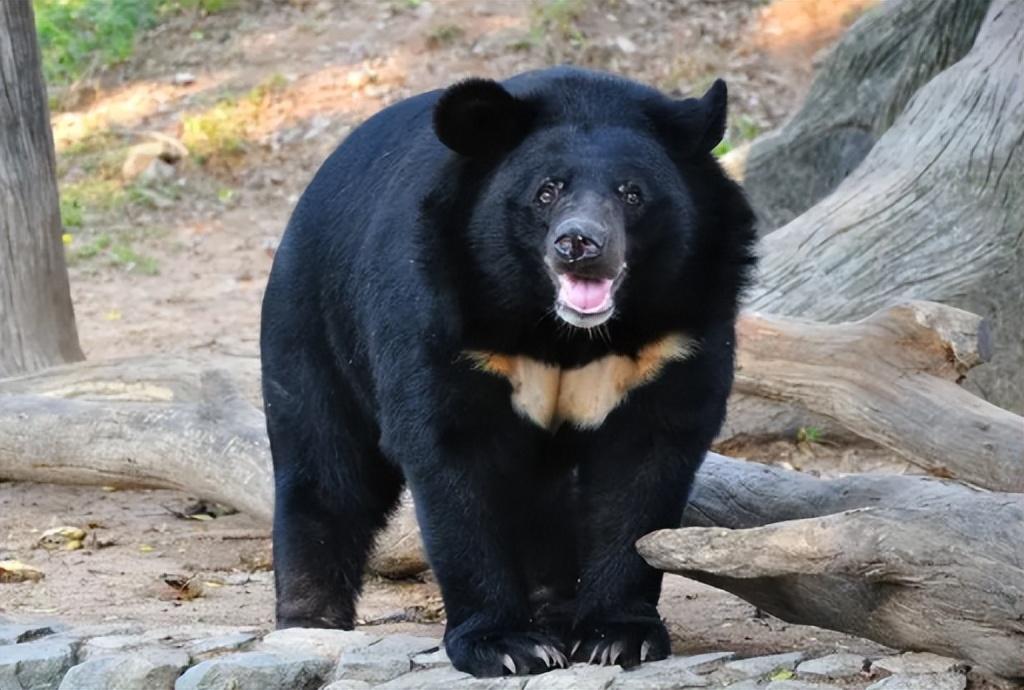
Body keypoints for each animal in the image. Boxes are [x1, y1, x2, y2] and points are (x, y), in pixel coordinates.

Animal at [260, 67, 757, 675]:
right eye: (547, 191)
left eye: (631, 193)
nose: (579, 244)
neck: (562, 332)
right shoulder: (442, 315)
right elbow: (452, 458)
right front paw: (505, 645)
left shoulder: (675, 336)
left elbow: (643, 470)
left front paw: (617, 636)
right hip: (313, 322)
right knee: (326, 467)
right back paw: (311, 621)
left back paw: (555, 610)